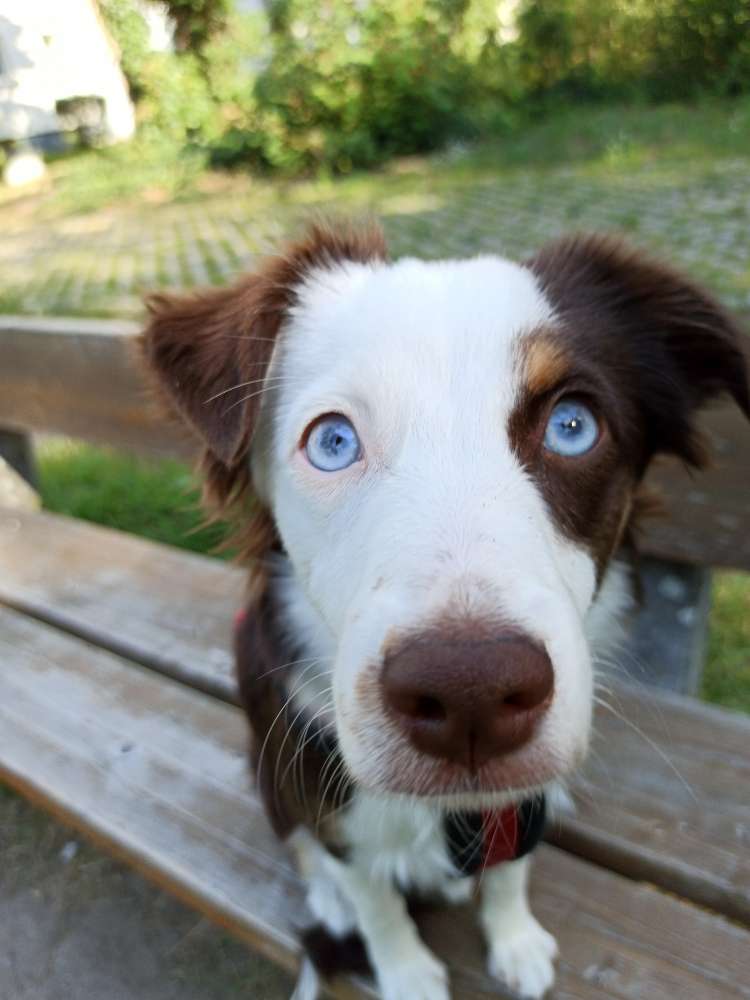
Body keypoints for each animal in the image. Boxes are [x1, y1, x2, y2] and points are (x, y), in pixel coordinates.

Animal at [141, 225, 750, 1000]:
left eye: (573, 426)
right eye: (332, 441)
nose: (471, 693)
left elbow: (513, 864)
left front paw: (515, 938)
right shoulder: (329, 804)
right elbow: (373, 898)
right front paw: (404, 970)